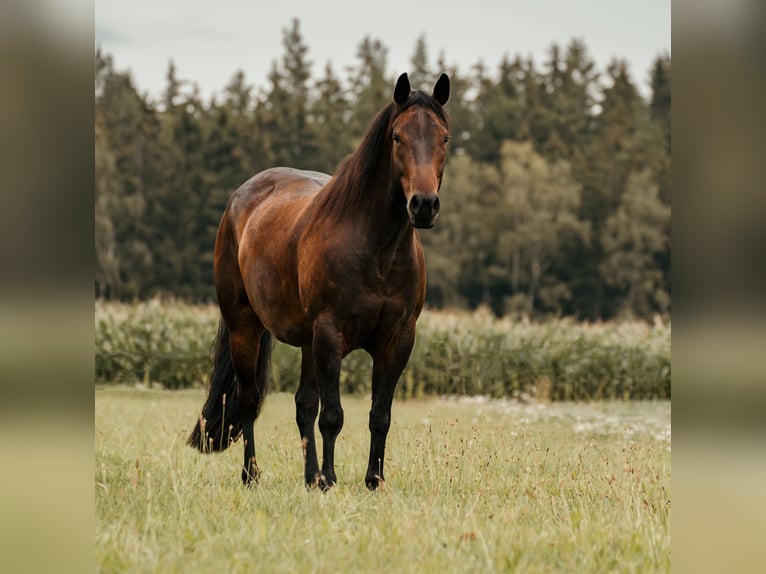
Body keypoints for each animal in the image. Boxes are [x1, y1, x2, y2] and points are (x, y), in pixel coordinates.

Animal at [188, 72, 450, 490]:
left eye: (444, 137)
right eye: (397, 136)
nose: (423, 206)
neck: (376, 249)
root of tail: (241, 198)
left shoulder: (397, 341)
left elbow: (379, 415)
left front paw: (373, 480)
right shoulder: (330, 333)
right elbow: (333, 416)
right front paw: (330, 478)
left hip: (307, 342)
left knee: (303, 404)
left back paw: (309, 476)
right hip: (246, 327)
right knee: (247, 401)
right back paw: (253, 475)